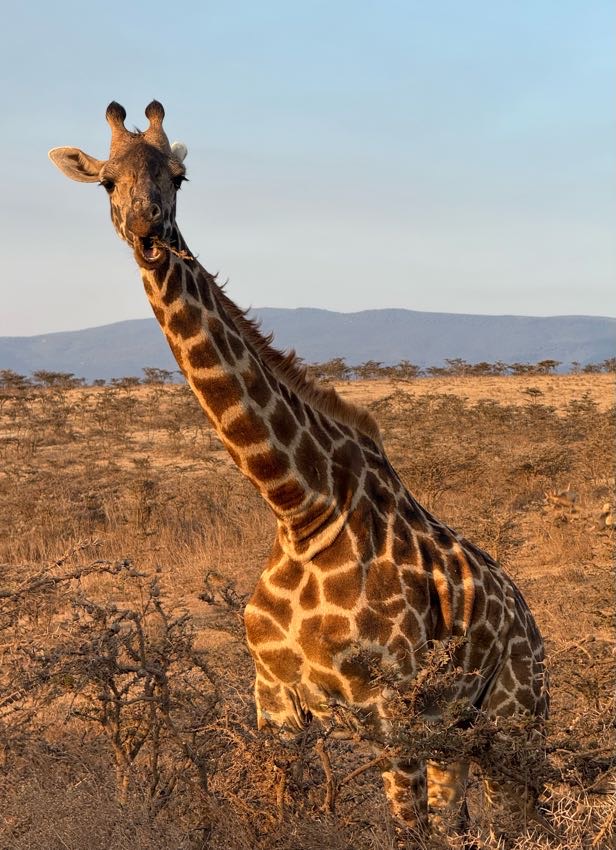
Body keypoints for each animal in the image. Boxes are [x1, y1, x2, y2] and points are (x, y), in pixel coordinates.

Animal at [49, 101, 549, 841]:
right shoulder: (277, 703)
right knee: (457, 824)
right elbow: (280, 820)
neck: (301, 505)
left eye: (179, 177)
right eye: (108, 181)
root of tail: (531, 624)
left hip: (510, 726)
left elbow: (403, 833)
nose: (148, 233)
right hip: (453, 738)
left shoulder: (390, 710)